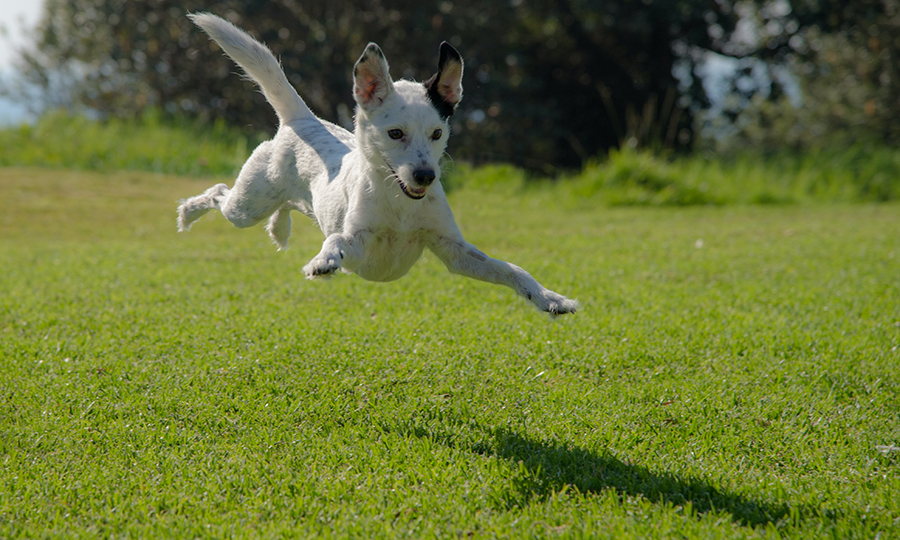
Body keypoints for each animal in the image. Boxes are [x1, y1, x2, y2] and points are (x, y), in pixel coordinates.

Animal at [179, 12, 580, 316]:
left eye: (437, 133)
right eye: (395, 133)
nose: (425, 175)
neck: (400, 204)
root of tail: (303, 120)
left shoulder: (454, 251)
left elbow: (511, 269)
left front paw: (549, 298)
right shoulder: (360, 242)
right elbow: (336, 241)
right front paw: (323, 261)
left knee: (284, 206)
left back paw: (279, 227)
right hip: (247, 205)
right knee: (219, 193)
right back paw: (188, 213)